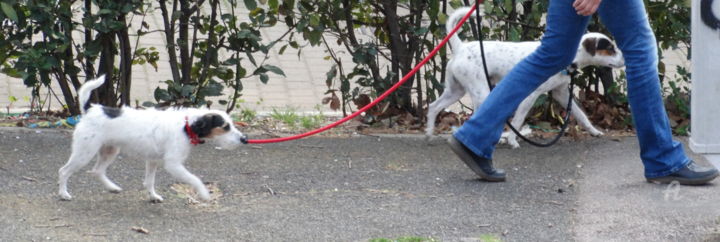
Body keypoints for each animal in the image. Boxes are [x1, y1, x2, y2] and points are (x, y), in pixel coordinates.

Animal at [57, 75, 248, 202]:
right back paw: (64, 194)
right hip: (84, 153)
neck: (186, 125)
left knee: (97, 170)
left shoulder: (153, 160)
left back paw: (112, 187)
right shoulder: (173, 165)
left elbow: (149, 181)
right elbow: (195, 179)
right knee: (64, 171)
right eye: (225, 127)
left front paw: (153, 196)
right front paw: (204, 193)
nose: (244, 139)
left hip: (109, 150)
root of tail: (90, 110)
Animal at [428, 6, 624, 148]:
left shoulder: (561, 93)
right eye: (610, 48)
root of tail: (460, 48)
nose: (624, 59)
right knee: (475, 116)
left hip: (456, 91)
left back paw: (429, 132)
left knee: (433, 106)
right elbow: (518, 120)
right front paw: (512, 140)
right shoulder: (530, 96)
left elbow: (581, 115)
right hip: (481, 92)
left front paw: (594, 131)